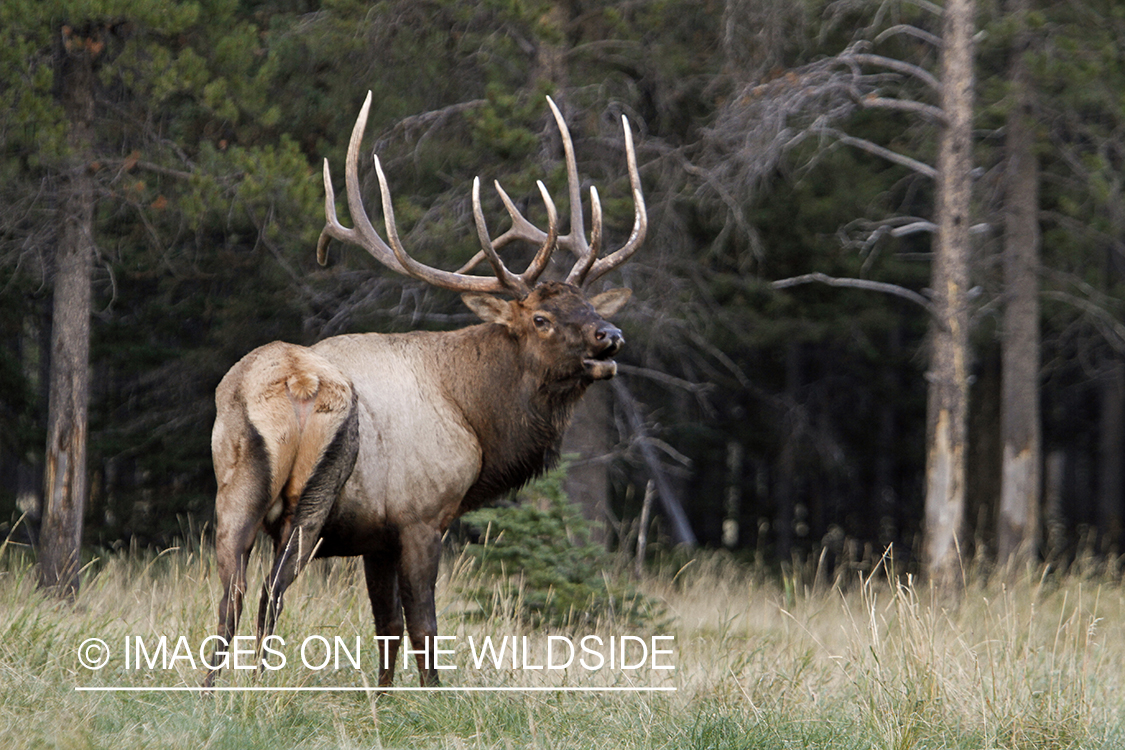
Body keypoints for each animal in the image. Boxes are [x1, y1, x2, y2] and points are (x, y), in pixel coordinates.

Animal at [201, 92, 643, 688]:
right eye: (542, 319)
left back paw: (214, 689)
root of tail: (296, 380)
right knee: (271, 590)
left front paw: (383, 697)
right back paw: (259, 684)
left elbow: (385, 626)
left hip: (235, 486)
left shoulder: (376, 536)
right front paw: (432, 695)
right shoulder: (421, 516)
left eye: (590, 306)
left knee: (231, 594)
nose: (610, 336)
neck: (476, 421)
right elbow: (423, 626)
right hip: (313, 497)